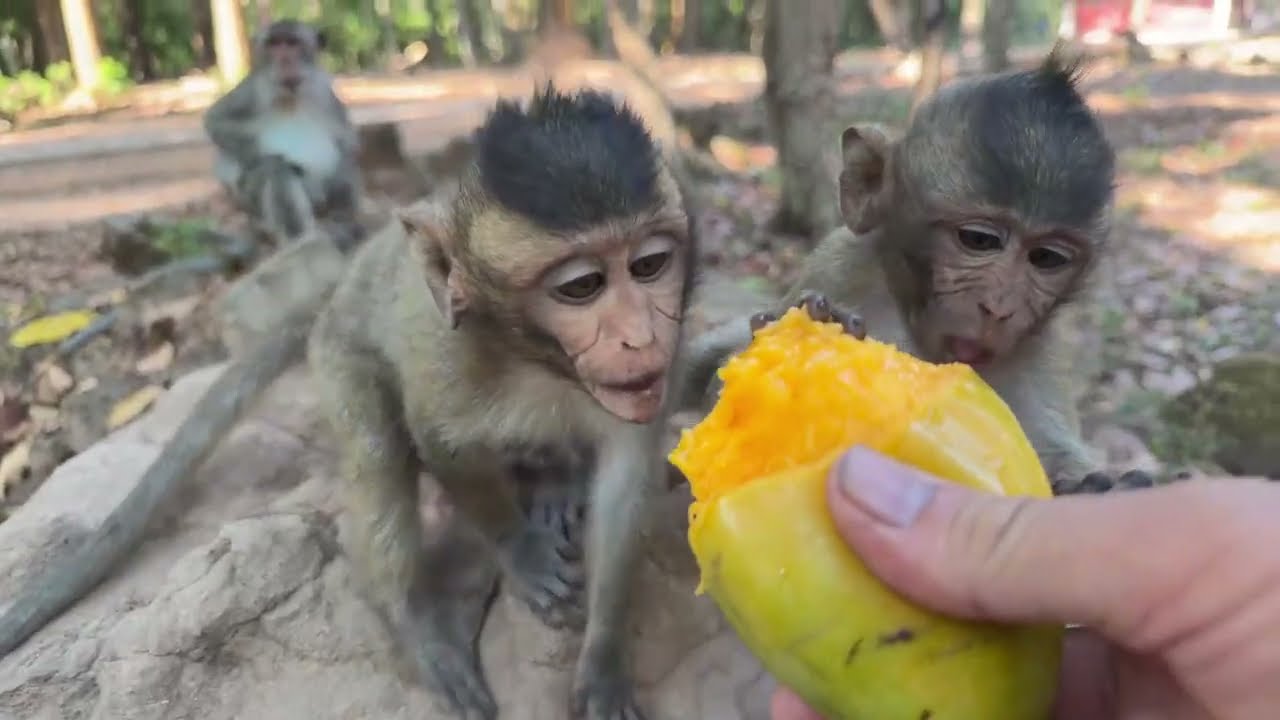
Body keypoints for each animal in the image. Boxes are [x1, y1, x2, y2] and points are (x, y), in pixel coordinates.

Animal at [203, 19, 363, 250]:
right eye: (274, 44)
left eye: (292, 43)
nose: (285, 59)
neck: (291, 95)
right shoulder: (252, 91)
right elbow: (216, 122)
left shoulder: (325, 94)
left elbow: (347, 142)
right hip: (252, 207)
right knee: (276, 171)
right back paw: (302, 240)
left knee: (346, 170)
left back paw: (342, 223)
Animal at [305, 85, 695, 720]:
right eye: (582, 286)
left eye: (649, 265)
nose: (639, 336)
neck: (539, 360)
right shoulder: (445, 354)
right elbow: (441, 444)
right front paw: (523, 551)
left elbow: (625, 482)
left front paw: (604, 656)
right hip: (336, 349)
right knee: (377, 450)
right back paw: (417, 624)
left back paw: (555, 482)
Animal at [677, 47, 1155, 496]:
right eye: (979, 240)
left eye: (1047, 258)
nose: (999, 308)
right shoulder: (838, 266)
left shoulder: (1043, 344)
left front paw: (1094, 483)